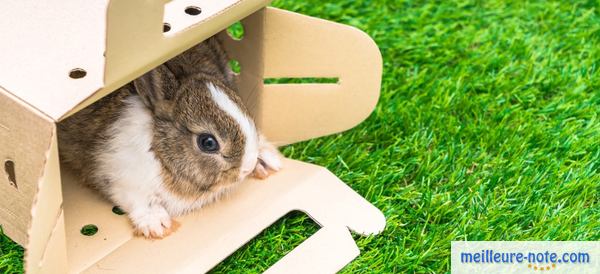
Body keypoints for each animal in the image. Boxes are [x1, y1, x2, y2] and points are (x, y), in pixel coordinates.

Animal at [57, 35, 282, 238]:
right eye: (208, 142)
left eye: (243, 106)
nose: (247, 168)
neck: (161, 153)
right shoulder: (118, 175)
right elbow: (138, 199)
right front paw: (157, 225)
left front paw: (269, 162)